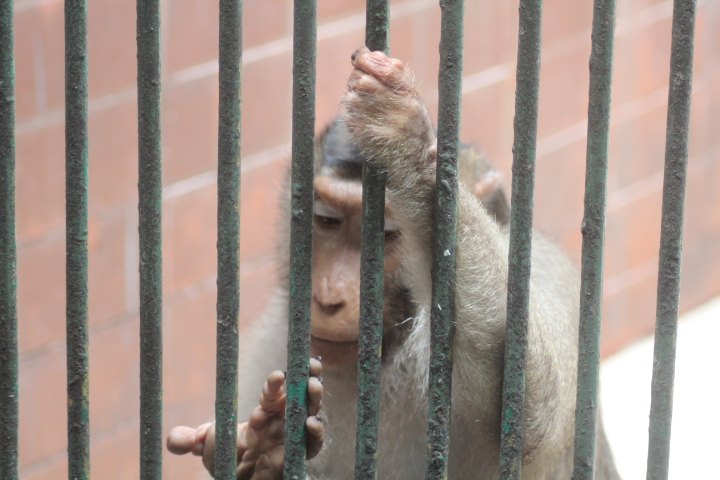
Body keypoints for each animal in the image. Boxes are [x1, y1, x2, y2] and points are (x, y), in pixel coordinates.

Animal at [167, 46, 620, 480]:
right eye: (326, 221)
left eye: (387, 232)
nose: (328, 297)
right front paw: (265, 448)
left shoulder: (542, 270)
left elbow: (523, 404)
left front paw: (408, 145)